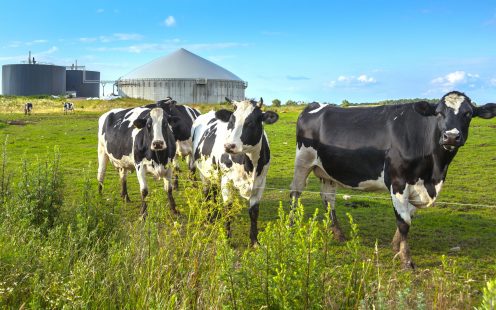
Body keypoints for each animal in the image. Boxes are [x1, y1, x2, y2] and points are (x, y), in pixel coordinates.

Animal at [191, 97, 280, 245]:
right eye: (231, 121)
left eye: (251, 122)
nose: (229, 146)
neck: (250, 165)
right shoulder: (227, 180)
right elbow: (228, 208)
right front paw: (227, 239)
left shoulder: (261, 183)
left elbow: (254, 212)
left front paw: (254, 241)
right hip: (203, 172)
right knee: (207, 193)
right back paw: (209, 219)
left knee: (213, 192)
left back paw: (215, 215)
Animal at [290, 91, 496, 268]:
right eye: (438, 113)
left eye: (468, 114)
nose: (451, 137)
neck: (434, 173)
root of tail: (315, 105)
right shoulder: (398, 181)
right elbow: (404, 222)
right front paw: (406, 259)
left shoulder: (416, 186)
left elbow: (409, 215)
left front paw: (396, 246)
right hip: (303, 161)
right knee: (295, 192)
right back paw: (291, 225)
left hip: (328, 171)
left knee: (328, 200)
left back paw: (338, 234)